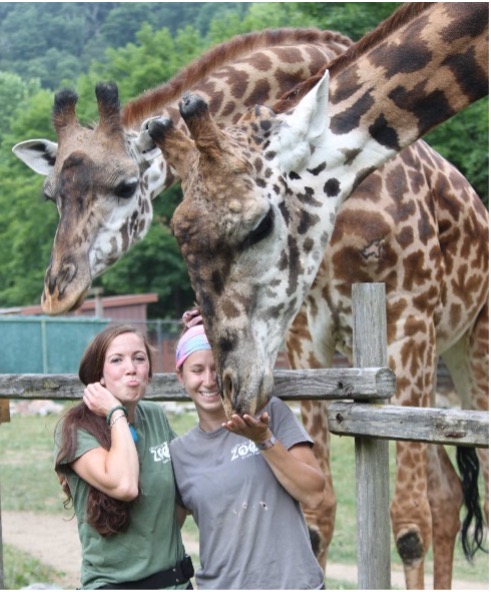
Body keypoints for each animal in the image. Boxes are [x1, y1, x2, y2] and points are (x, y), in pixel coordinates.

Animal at [148, 3, 490, 588]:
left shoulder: (409, 321)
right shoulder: (313, 333)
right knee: (449, 492)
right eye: (178, 237)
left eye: (260, 224)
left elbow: (408, 522)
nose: (233, 387)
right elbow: (315, 516)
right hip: (453, 352)